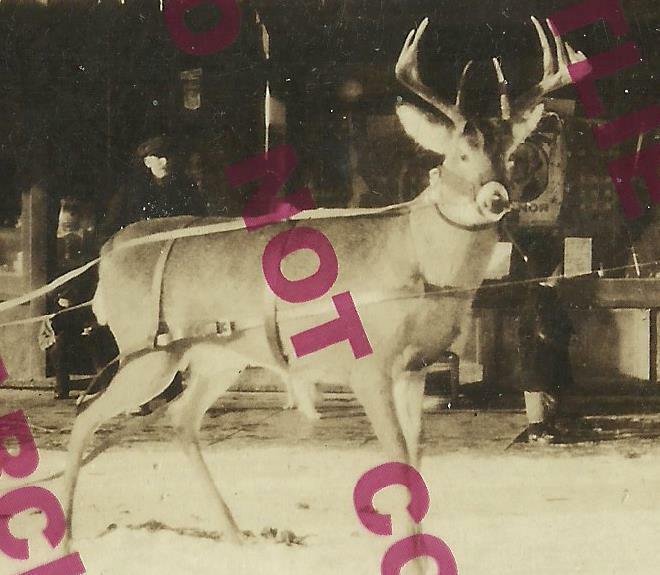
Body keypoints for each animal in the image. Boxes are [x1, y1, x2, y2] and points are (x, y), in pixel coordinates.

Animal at [60, 15, 584, 564]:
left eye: (510, 154)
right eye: (460, 154)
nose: (496, 198)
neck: (418, 260)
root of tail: (109, 251)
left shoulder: (416, 367)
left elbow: (417, 463)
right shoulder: (367, 365)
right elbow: (398, 463)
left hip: (216, 355)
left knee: (179, 419)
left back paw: (235, 534)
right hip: (144, 348)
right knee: (86, 415)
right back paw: (67, 534)